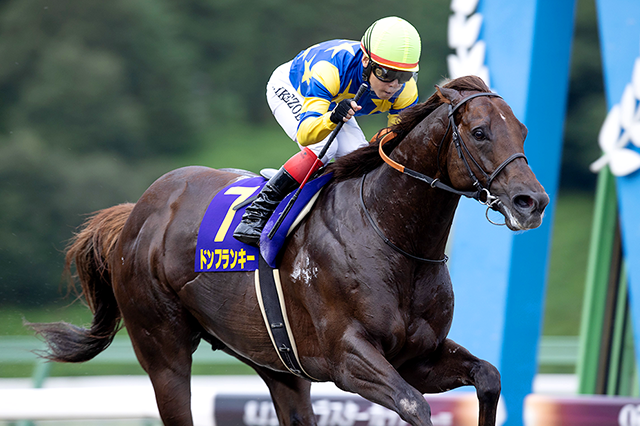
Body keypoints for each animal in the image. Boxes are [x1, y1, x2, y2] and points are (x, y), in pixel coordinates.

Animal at [29, 75, 549, 426]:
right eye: (480, 132)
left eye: (524, 130)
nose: (533, 201)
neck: (392, 237)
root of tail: (138, 212)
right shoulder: (348, 358)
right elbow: (414, 406)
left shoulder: (418, 358)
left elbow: (488, 377)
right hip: (163, 351)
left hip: (276, 363)